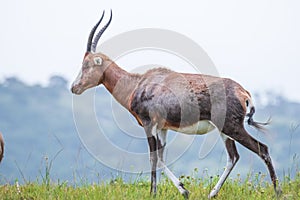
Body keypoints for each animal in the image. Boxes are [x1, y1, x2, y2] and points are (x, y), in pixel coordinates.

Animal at [71, 10, 282, 198]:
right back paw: (212, 193)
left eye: (87, 64)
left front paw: (165, 192)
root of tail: (243, 91)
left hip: (232, 127)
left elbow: (154, 157)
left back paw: (277, 192)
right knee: (233, 156)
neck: (139, 83)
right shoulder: (163, 128)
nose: (74, 87)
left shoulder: (148, 125)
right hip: (224, 130)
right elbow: (162, 156)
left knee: (262, 149)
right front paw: (177, 190)